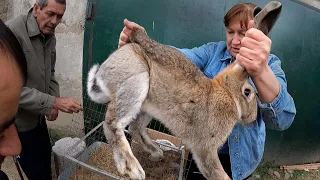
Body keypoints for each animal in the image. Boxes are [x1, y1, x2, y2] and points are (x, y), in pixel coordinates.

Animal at [86, 1, 282, 180]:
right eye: (248, 92)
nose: (252, 117)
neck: (227, 94)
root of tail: (105, 68)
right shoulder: (205, 148)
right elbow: (215, 171)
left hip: (147, 104)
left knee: (136, 128)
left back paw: (156, 152)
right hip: (136, 82)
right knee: (112, 124)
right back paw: (133, 169)